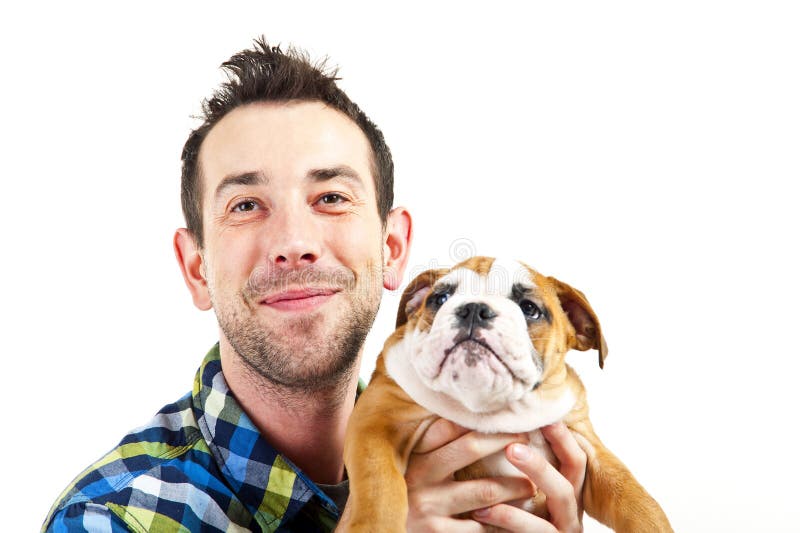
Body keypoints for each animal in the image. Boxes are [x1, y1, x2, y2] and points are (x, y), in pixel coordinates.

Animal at [340, 256, 672, 528]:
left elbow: (634, 498)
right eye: (440, 298)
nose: (474, 309)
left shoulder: (587, 447)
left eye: (529, 309)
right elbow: (380, 489)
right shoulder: (376, 425)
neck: (490, 408)